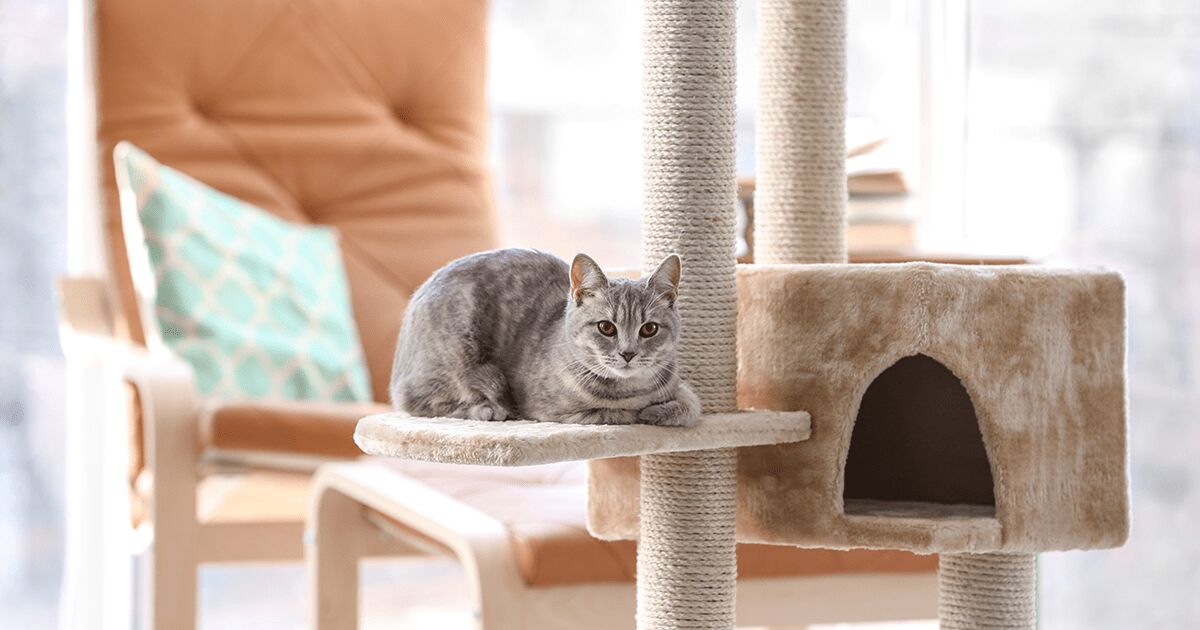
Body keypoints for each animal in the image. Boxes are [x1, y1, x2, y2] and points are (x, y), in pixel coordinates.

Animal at [388, 248, 700, 424]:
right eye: (606, 327)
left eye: (649, 329)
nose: (628, 353)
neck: (631, 390)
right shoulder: (551, 410)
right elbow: (615, 414)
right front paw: (646, 413)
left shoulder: (680, 388)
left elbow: (691, 406)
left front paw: (663, 411)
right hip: (457, 357)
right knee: (417, 401)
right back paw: (486, 410)